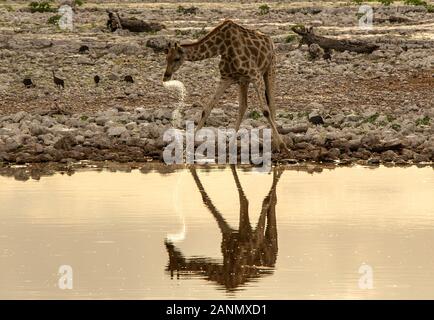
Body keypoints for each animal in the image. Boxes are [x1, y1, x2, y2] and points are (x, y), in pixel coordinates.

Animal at [163, 19, 288, 152]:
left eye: (176, 58)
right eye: (166, 58)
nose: (166, 76)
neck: (222, 46)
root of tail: (270, 41)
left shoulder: (255, 75)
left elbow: (265, 111)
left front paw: (284, 146)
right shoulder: (226, 78)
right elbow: (206, 109)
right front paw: (188, 146)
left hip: (270, 68)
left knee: (271, 104)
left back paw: (276, 145)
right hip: (244, 81)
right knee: (243, 106)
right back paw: (232, 144)